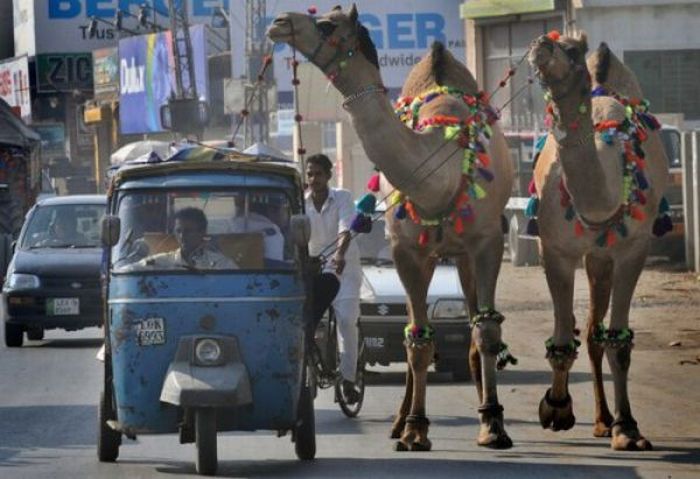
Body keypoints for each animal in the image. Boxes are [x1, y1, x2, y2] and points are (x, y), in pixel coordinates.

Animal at [268, 5, 516, 452]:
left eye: (328, 23)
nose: (280, 22)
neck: (443, 170)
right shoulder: (406, 250)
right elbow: (416, 339)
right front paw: (415, 429)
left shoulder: (488, 241)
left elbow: (486, 330)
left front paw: (493, 424)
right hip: (433, 252)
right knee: (416, 333)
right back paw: (400, 422)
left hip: (464, 252)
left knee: (475, 324)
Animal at [532, 31, 668, 452]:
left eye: (572, 50)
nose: (542, 44)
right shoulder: (554, 249)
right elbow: (563, 336)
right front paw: (556, 407)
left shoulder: (632, 249)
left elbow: (619, 342)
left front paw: (628, 428)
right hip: (591, 255)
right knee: (590, 329)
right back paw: (599, 419)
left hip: (603, 256)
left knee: (597, 330)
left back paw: (607, 421)